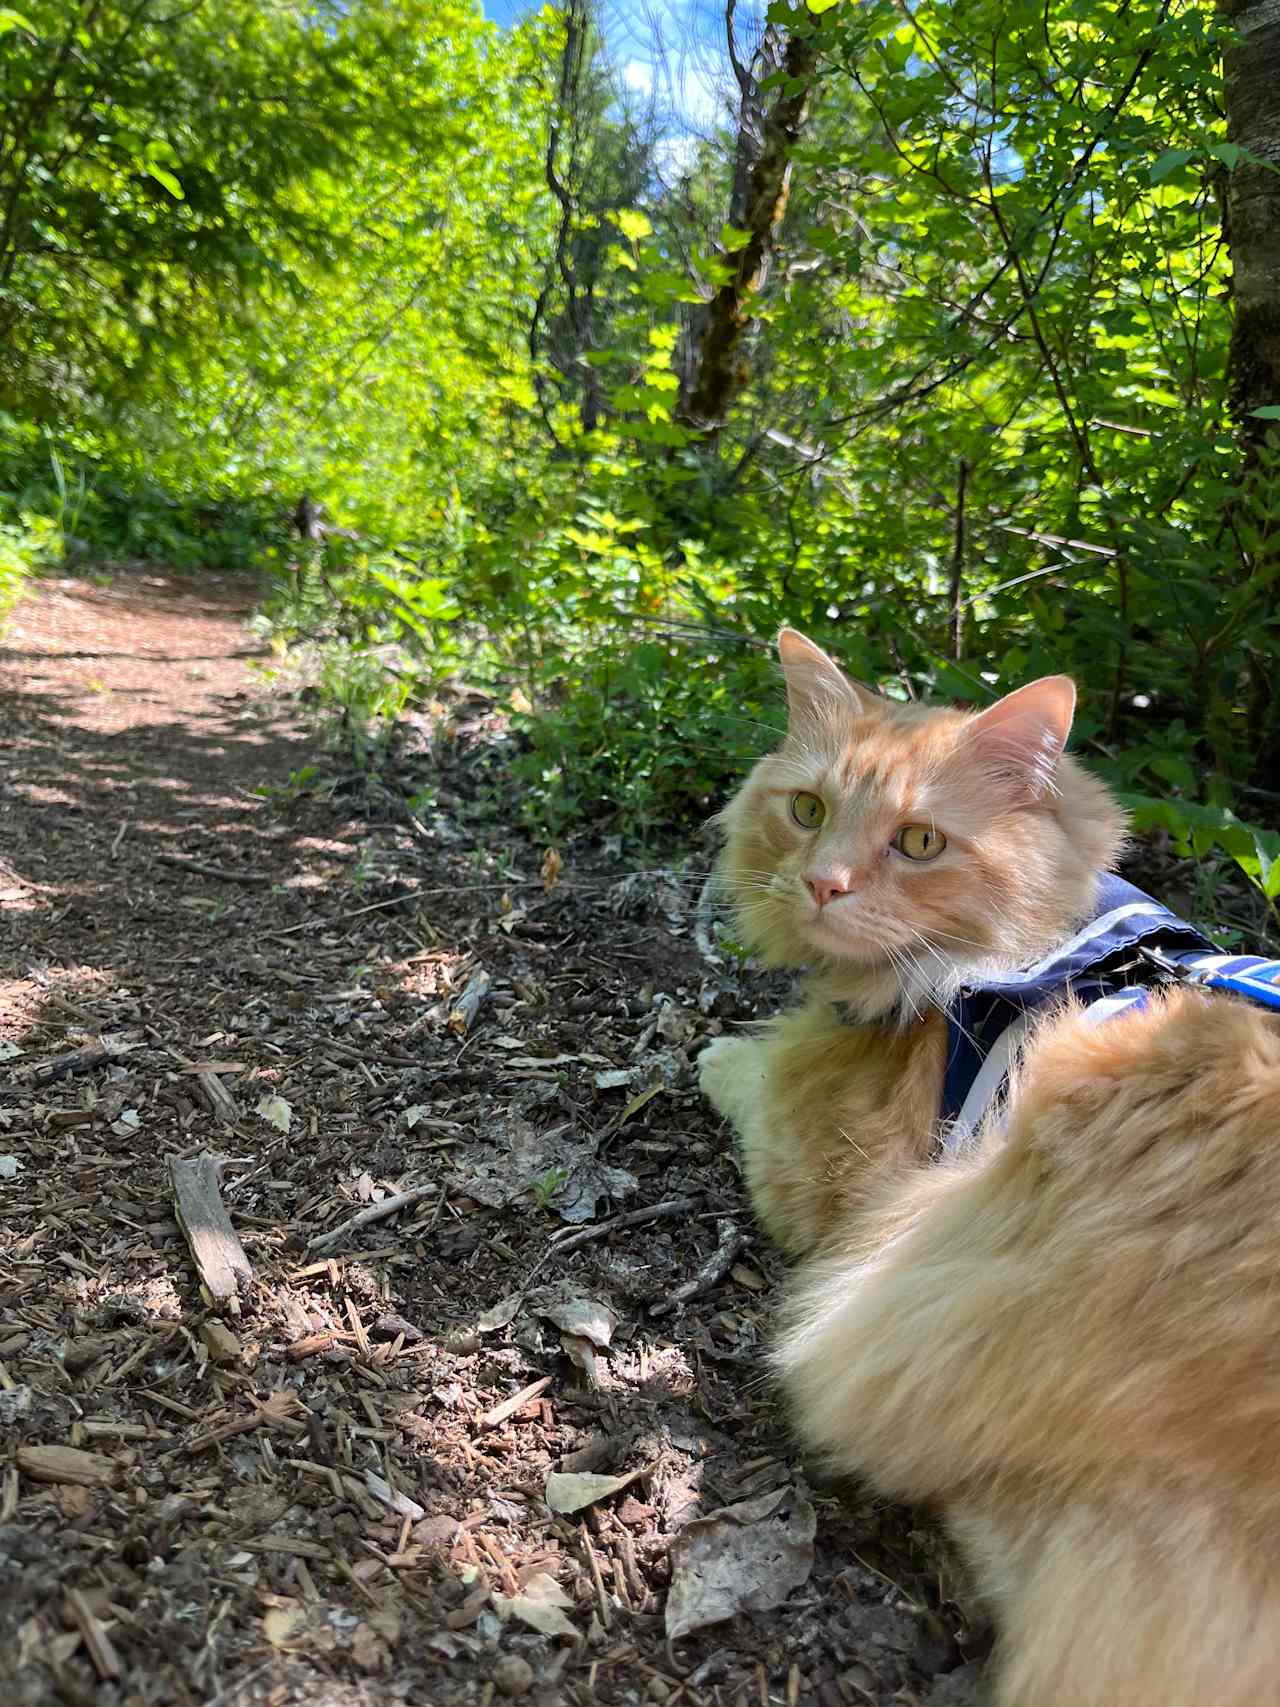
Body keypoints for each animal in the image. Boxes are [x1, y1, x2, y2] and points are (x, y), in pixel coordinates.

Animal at [703, 628, 1280, 1707]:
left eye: (919, 842)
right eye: (807, 811)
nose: (821, 883)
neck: (1049, 941)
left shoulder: (824, 1164)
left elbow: (747, 1073)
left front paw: (716, 1053)